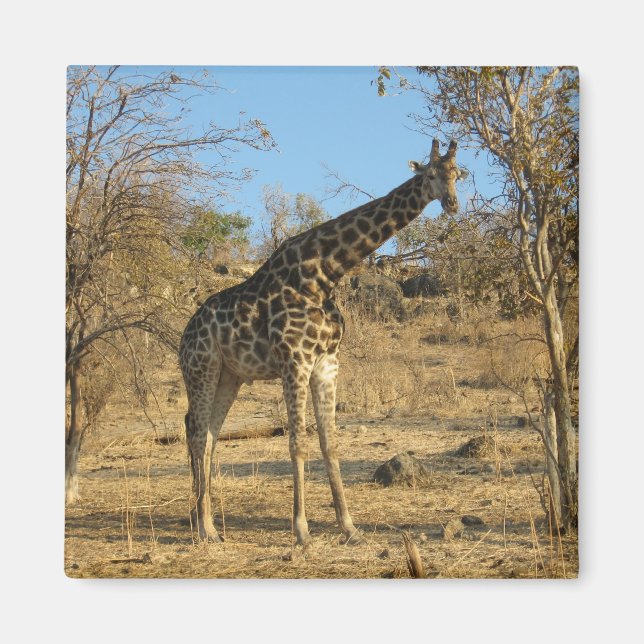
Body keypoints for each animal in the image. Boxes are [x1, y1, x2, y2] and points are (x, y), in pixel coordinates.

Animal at [179, 138, 467, 546]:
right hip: (202, 368)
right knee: (197, 431)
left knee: (207, 433)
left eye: (457, 174)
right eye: (428, 175)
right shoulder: (294, 360)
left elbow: (330, 442)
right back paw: (205, 528)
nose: (452, 203)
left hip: (229, 376)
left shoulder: (327, 362)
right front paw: (301, 531)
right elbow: (298, 442)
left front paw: (349, 527)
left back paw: (204, 522)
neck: (324, 273)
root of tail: (183, 337)